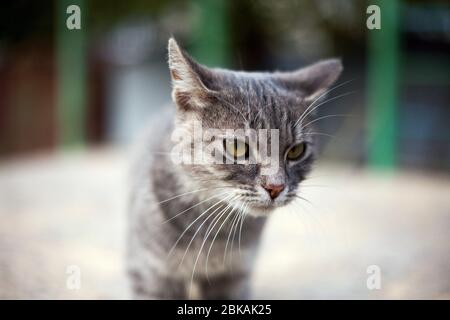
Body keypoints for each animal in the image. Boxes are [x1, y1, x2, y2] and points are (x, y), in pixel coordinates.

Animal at [126, 38, 342, 300]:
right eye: (237, 147)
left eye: (296, 151)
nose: (276, 186)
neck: (215, 231)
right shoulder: (151, 274)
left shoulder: (234, 277)